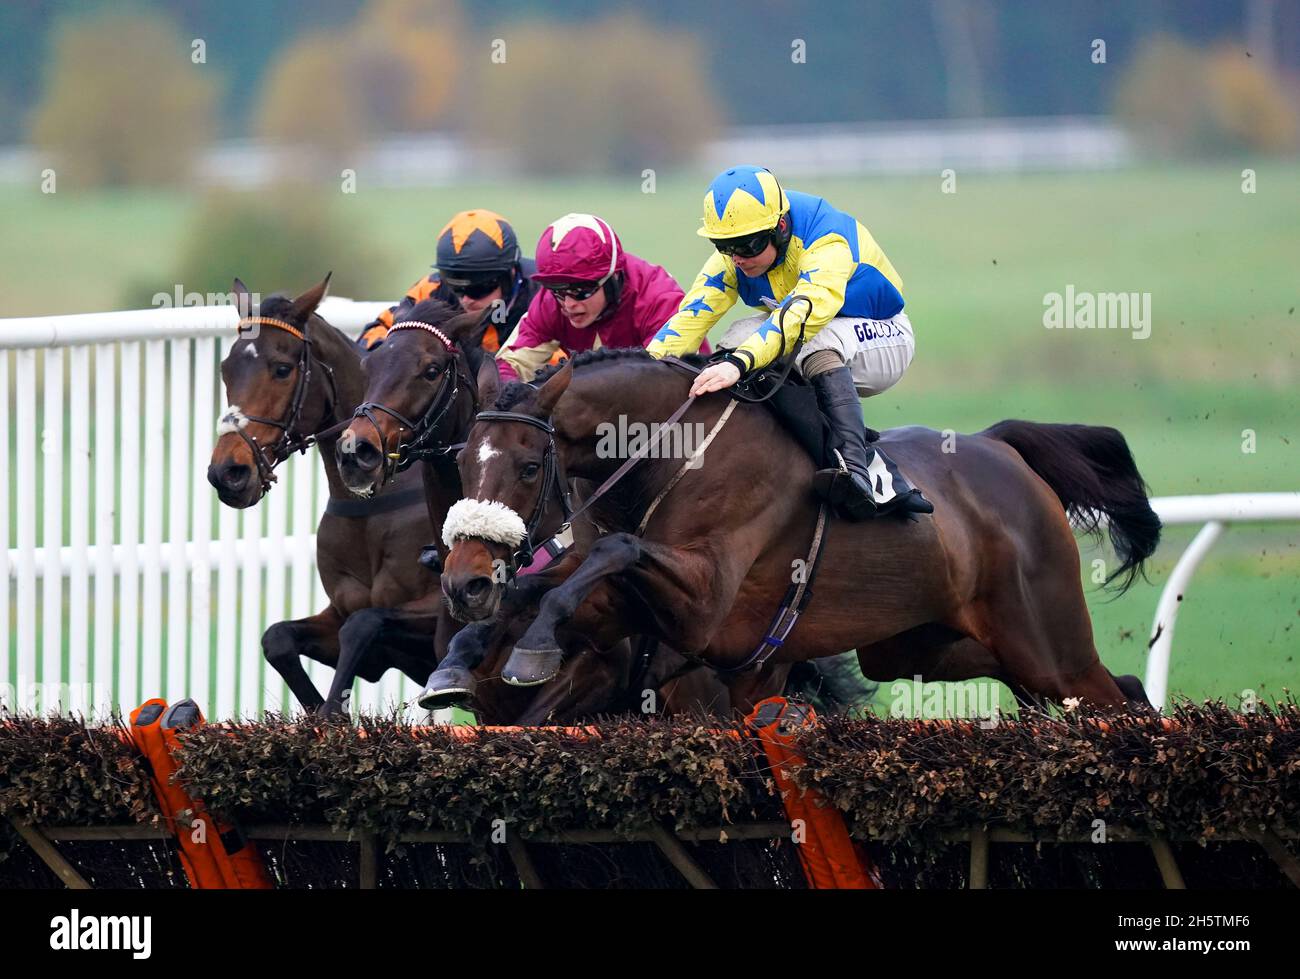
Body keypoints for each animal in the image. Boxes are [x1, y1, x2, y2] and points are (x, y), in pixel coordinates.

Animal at [205, 275, 444, 712]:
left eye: (282, 369)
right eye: (226, 368)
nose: (228, 473)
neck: (372, 502)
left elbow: (363, 625)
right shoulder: (341, 613)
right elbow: (278, 637)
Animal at [423, 348, 1159, 712]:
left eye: (528, 466)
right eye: (461, 459)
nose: (464, 580)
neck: (672, 455)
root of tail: (1003, 449)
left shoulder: (705, 603)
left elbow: (612, 547)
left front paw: (528, 650)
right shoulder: (625, 609)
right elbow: (545, 586)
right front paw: (458, 660)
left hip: (1046, 644)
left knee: (1108, 697)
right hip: (930, 646)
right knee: (1121, 688)